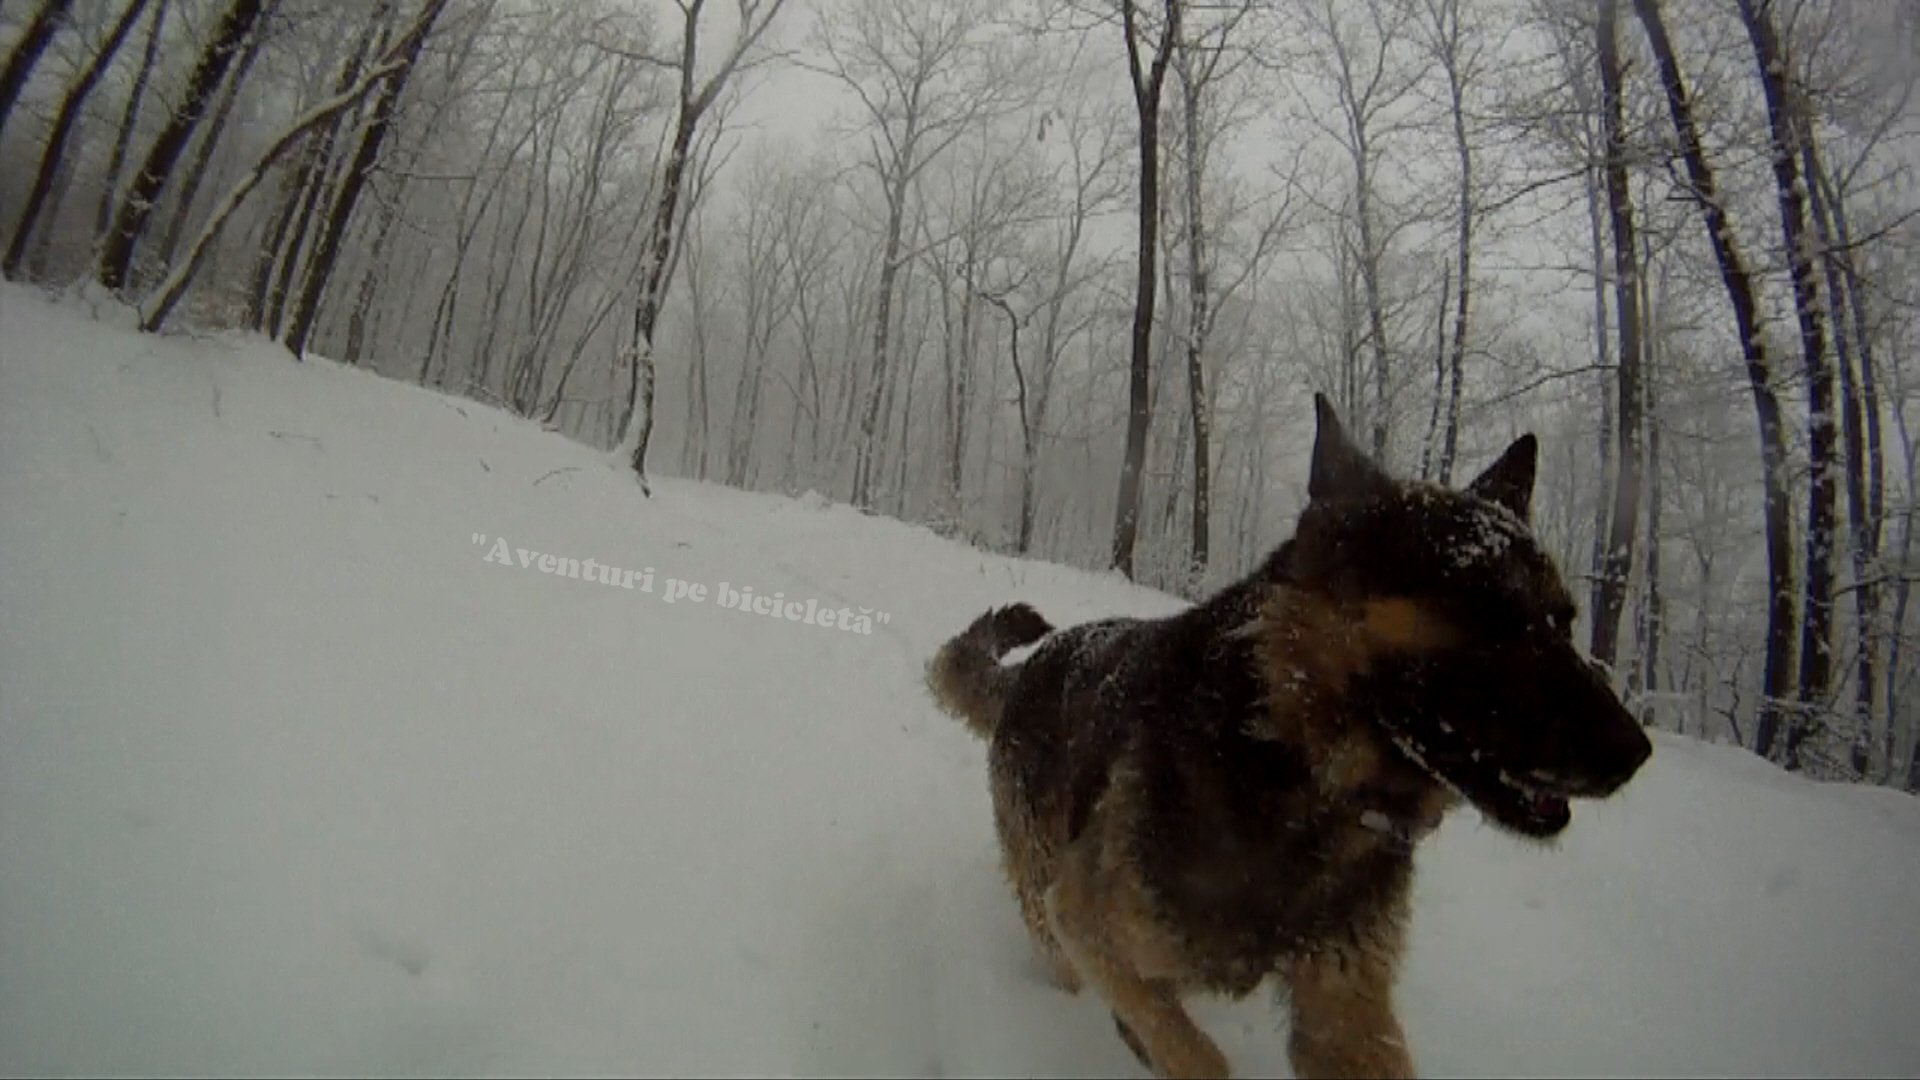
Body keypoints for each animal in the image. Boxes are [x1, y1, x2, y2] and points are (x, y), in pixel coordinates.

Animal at [929, 397, 1651, 1076]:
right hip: (1050, 909)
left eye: (1563, 620)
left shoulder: (1344, 1010)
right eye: (1492, 613)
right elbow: (1197, 1054)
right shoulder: (1089, 921)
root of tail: (1030, 670)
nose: (1636, 753)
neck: (1291, 764)